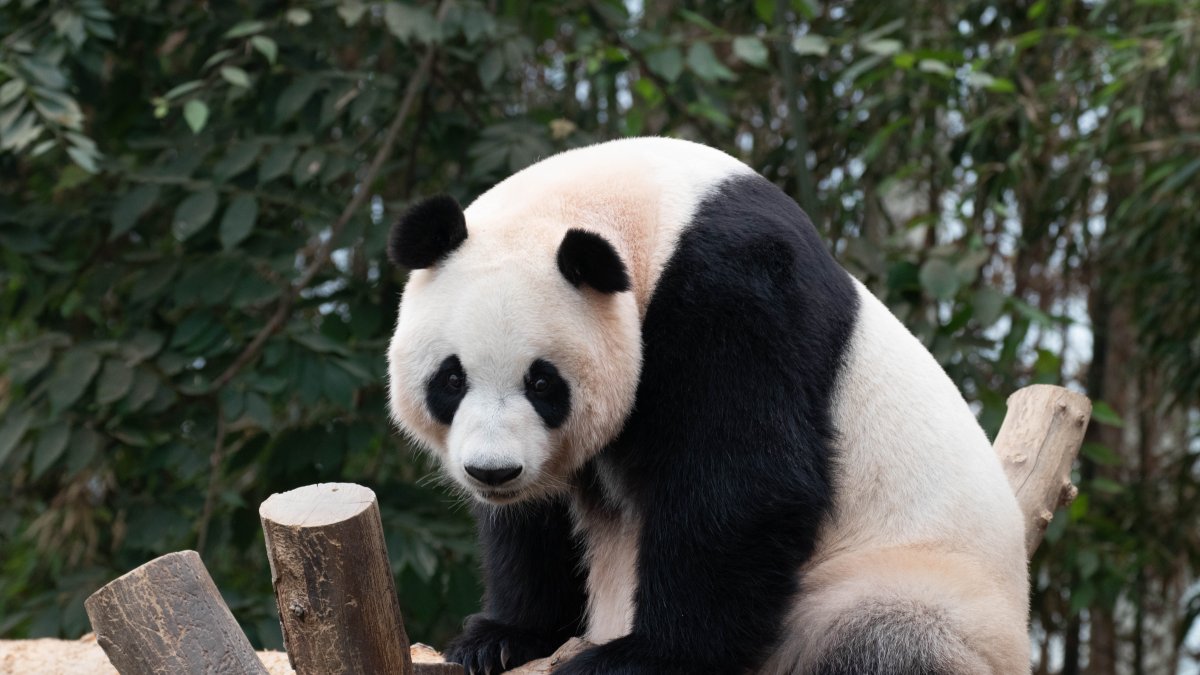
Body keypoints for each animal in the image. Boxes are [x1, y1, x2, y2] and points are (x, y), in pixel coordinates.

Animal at [386, 136, 1032, 672]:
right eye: (451, 379)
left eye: (543, 384)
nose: (492, 471)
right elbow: (535, 523)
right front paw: (500, 639)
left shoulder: (737, 291)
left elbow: (742, 483)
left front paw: (639, 657)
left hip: (902, 588)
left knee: (882, 644)